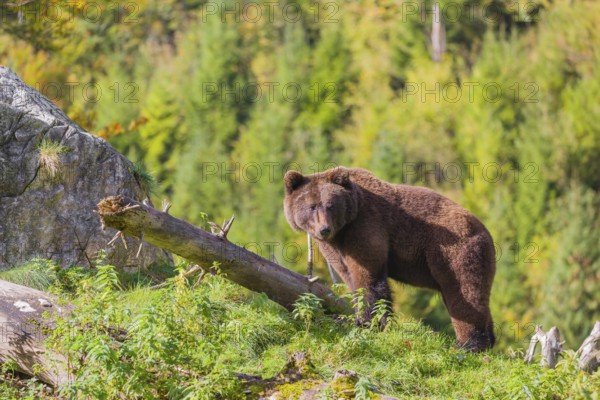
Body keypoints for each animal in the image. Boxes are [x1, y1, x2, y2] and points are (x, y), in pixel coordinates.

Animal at [284, 166, 494, 350]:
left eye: (330, 205)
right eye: (312, 206)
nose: (324, 229)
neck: (342, 231)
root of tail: (486, 232)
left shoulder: (366, 226)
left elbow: (368, 277)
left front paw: (371, 322)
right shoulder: (336, 248)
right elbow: (349, 277)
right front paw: (360, 319)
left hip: (454, 252)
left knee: (464, 293)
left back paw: (468, 345)